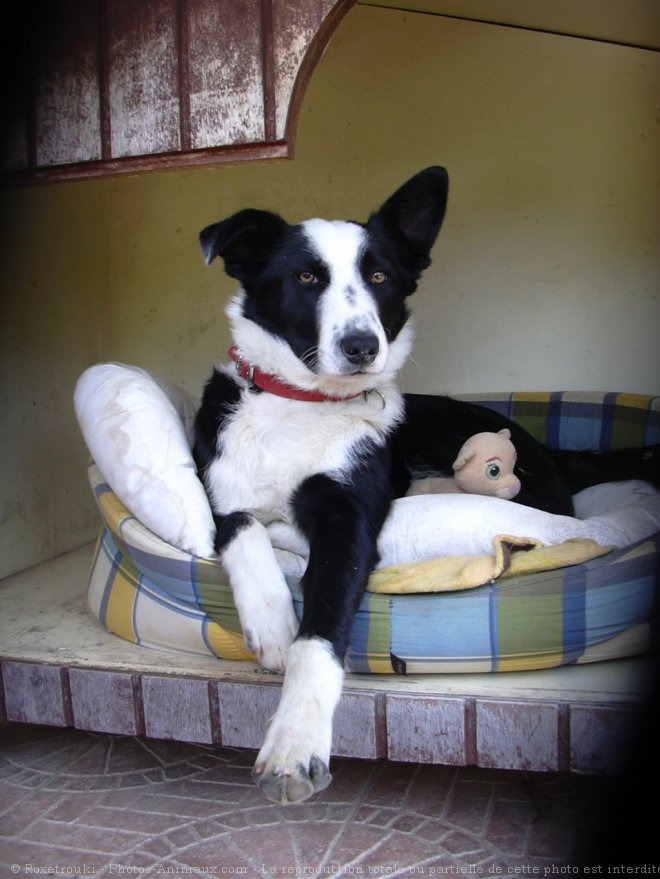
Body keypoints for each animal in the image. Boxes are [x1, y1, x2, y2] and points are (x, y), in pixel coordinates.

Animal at [193, 167, 656, 804]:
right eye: (306, 277)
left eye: (379, 277)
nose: (363, 346)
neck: (301, 405)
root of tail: (552, 456)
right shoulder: (215, 487)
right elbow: (243, 530)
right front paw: (270, 623)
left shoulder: (350, 519)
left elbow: (319, 639)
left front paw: (294, 742)